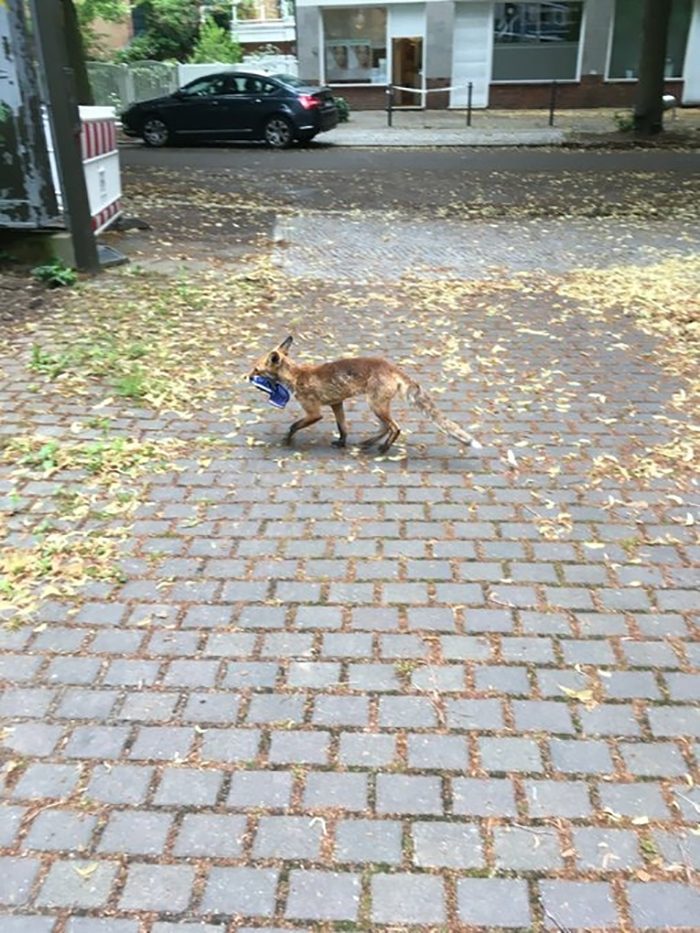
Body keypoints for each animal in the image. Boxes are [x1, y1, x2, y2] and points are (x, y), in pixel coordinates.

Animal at [246, 336, 482, 454]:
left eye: (256, 369)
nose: (246, 376)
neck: (297, 376)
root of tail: (392, 366)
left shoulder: (314, 412)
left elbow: (294, 425)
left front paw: (286, 440)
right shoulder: (337, 403)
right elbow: (343, 427)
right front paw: (342, 443)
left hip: (375, 405)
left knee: (395, 427)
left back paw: (384, 449)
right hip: (377, 406)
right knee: (385, 427)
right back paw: (367, 443)